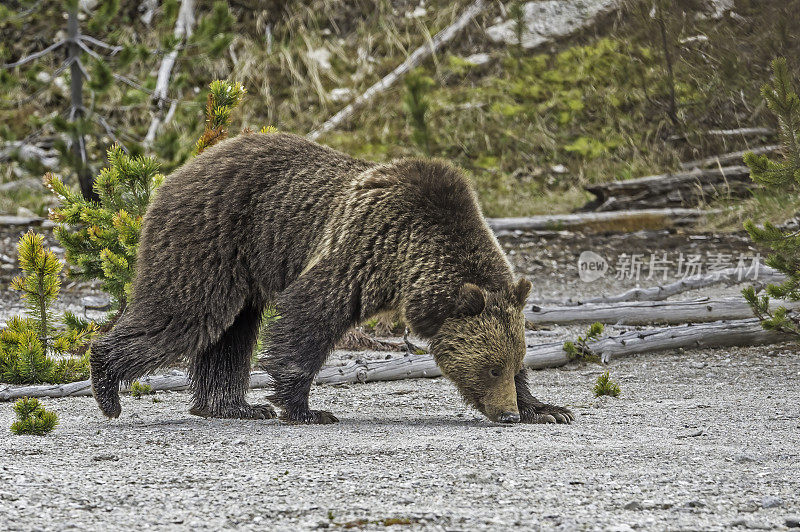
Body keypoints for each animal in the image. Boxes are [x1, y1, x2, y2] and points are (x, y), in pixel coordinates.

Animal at [90, 133, 572, 424]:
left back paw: (233, 406)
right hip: (209, 243)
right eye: (490, 368)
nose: (507, 414)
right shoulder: (365, 247)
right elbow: (310, 314)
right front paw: (303, 408)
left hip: (242, 272)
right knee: (186, 315)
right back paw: (107, 386)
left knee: (231, 334)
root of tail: (174, 173)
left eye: (512, 363)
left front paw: (547, 408)